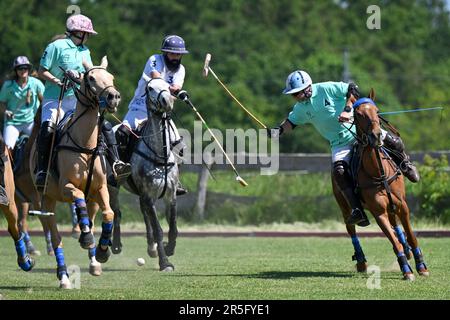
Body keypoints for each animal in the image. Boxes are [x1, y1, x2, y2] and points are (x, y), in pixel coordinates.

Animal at [30, 56, 122, 288]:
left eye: (111, 77)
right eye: (91, 78)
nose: (114, 97)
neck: (85, 145)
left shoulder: (100, 188)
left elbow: (108, 213)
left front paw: (102, 251)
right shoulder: (66, 187)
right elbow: (78, 198)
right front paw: (87, 238)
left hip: (92, 200)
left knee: (91, 217)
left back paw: (94, 260)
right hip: (47, 201)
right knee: (56, 238)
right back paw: (63, 277)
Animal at [108, 79, 178, 272]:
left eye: (168, 87)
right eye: (150, 88)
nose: (167, 101)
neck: (159, 155)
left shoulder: (171, 195)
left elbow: (173, 227)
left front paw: (169, 248)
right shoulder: (148, 194)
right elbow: (159, 229)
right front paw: (165, 263)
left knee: (144, 214)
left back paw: (151, 248)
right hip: (113, 186)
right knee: (116, 211)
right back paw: (116, 245)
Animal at [332, 90, 430, 280]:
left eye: (376, 111)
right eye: (358, 114)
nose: (376, 135)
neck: (379, 172)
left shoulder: (402, 205)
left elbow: (411, 236)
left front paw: (421, 266)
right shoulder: (379, 213)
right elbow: (393, 241)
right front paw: (406, 270)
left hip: (392, 206)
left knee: (396, 227)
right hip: (344, 207)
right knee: (351, 227)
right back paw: (361, 262)